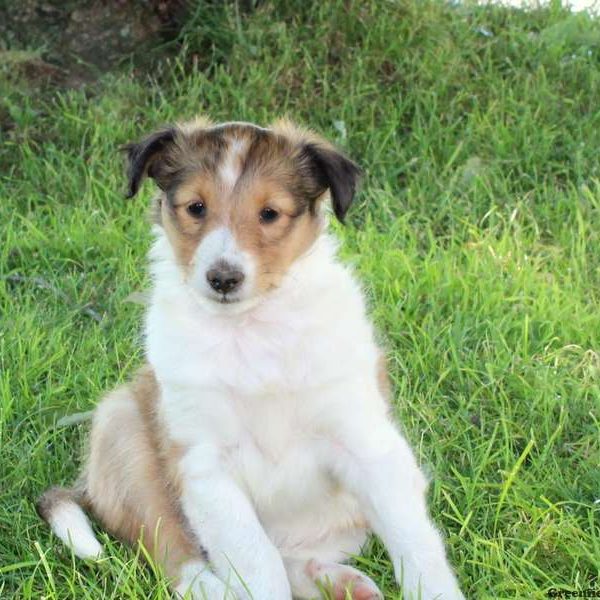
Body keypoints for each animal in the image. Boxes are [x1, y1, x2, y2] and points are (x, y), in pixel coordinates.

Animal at [37, 118, 464, 600]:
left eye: (270, 214)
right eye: (196, 207)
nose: (223, 279)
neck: (251, 330)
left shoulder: (365, 440)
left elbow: (415, 541)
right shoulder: (205, 464)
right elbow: (257, 562)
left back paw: (338, 581)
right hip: (124, 435)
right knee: (181, 561)